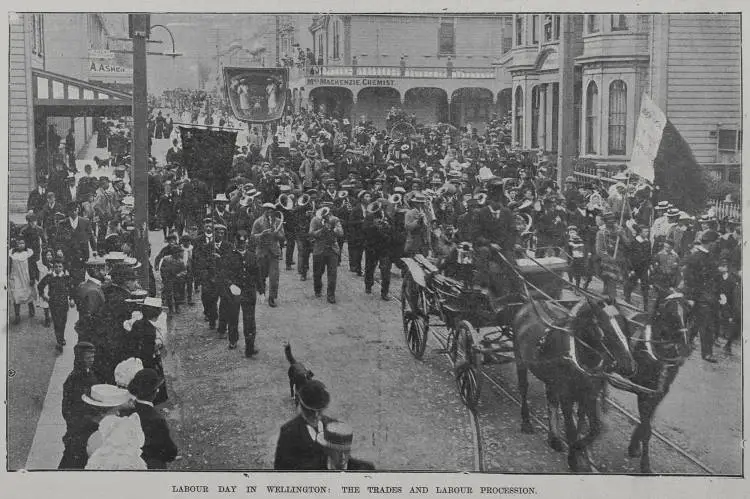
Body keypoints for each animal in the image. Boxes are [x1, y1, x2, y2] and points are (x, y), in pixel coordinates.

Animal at [516, 296, 636, 472]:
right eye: (603, 328)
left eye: (624, 325)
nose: (630, 366)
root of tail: (530, 303)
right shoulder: (567, 396)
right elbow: (571, 429)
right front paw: (573, 458)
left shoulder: (590, 395)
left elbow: (595, 428)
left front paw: (580, 449)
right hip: (520, 360)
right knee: (523, 388)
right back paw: (526, 423)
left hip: (551, 381)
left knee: (551, 400)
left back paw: (554, 439)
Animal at [624, 292, 692, 476]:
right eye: (670, 313)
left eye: (688, 313)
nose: (684, 349)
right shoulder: (644, 391)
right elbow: (647, 429)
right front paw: (645, 465)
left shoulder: (658, 392)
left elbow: (646, 423)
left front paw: (634, 446)